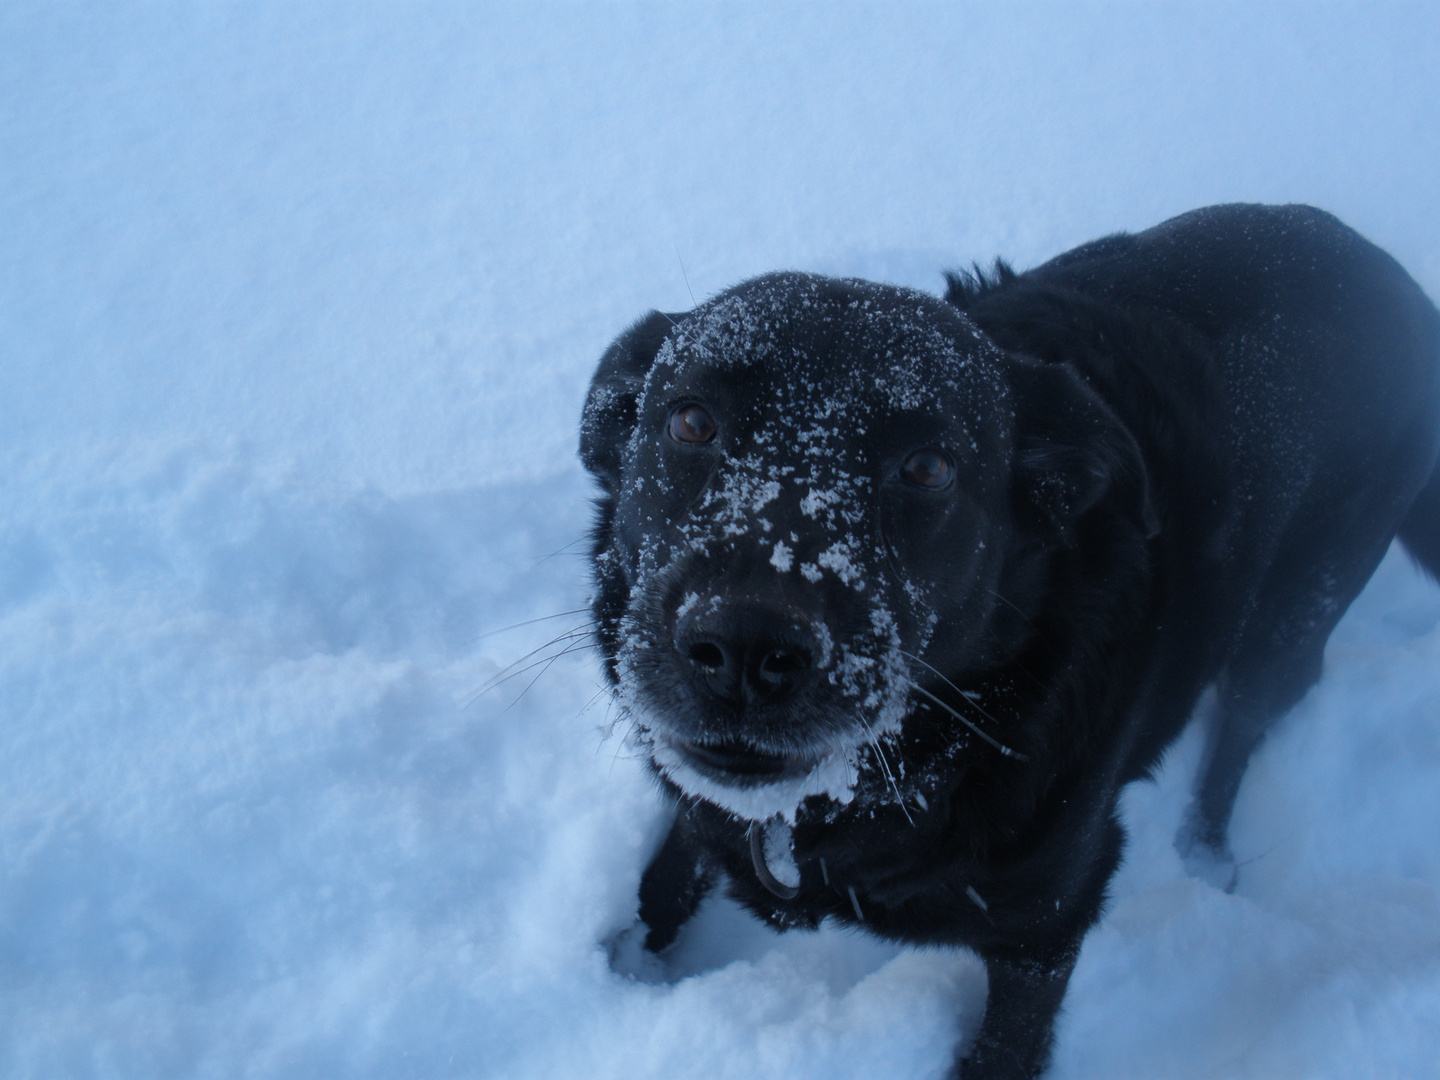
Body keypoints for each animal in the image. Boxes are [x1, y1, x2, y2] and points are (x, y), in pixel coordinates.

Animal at [576, 204, 1440, 1080]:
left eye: (927, 467)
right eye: (691, 420)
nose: (746, 647)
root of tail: (1395, 281)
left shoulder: (1052, 916)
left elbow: (1007, 1046)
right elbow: (672, 863)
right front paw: (629, 958)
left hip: (1296, 615)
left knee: (1242, 730)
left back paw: (1206, 850)